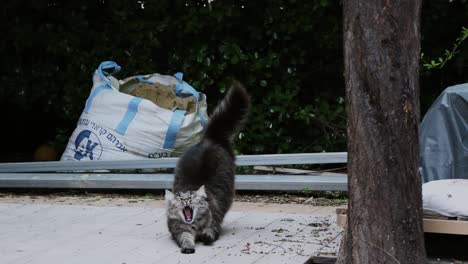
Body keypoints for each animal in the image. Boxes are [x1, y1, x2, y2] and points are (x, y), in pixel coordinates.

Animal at [165, 80, 252, 254]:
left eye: (191, 198)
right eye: (180, 199)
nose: (186, 200)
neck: (195, 225)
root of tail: (210, 137)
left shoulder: (214, 222)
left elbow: (211, 230)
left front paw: (205, 236)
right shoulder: (179, 229)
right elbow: (185, 237)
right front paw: (188, 246)